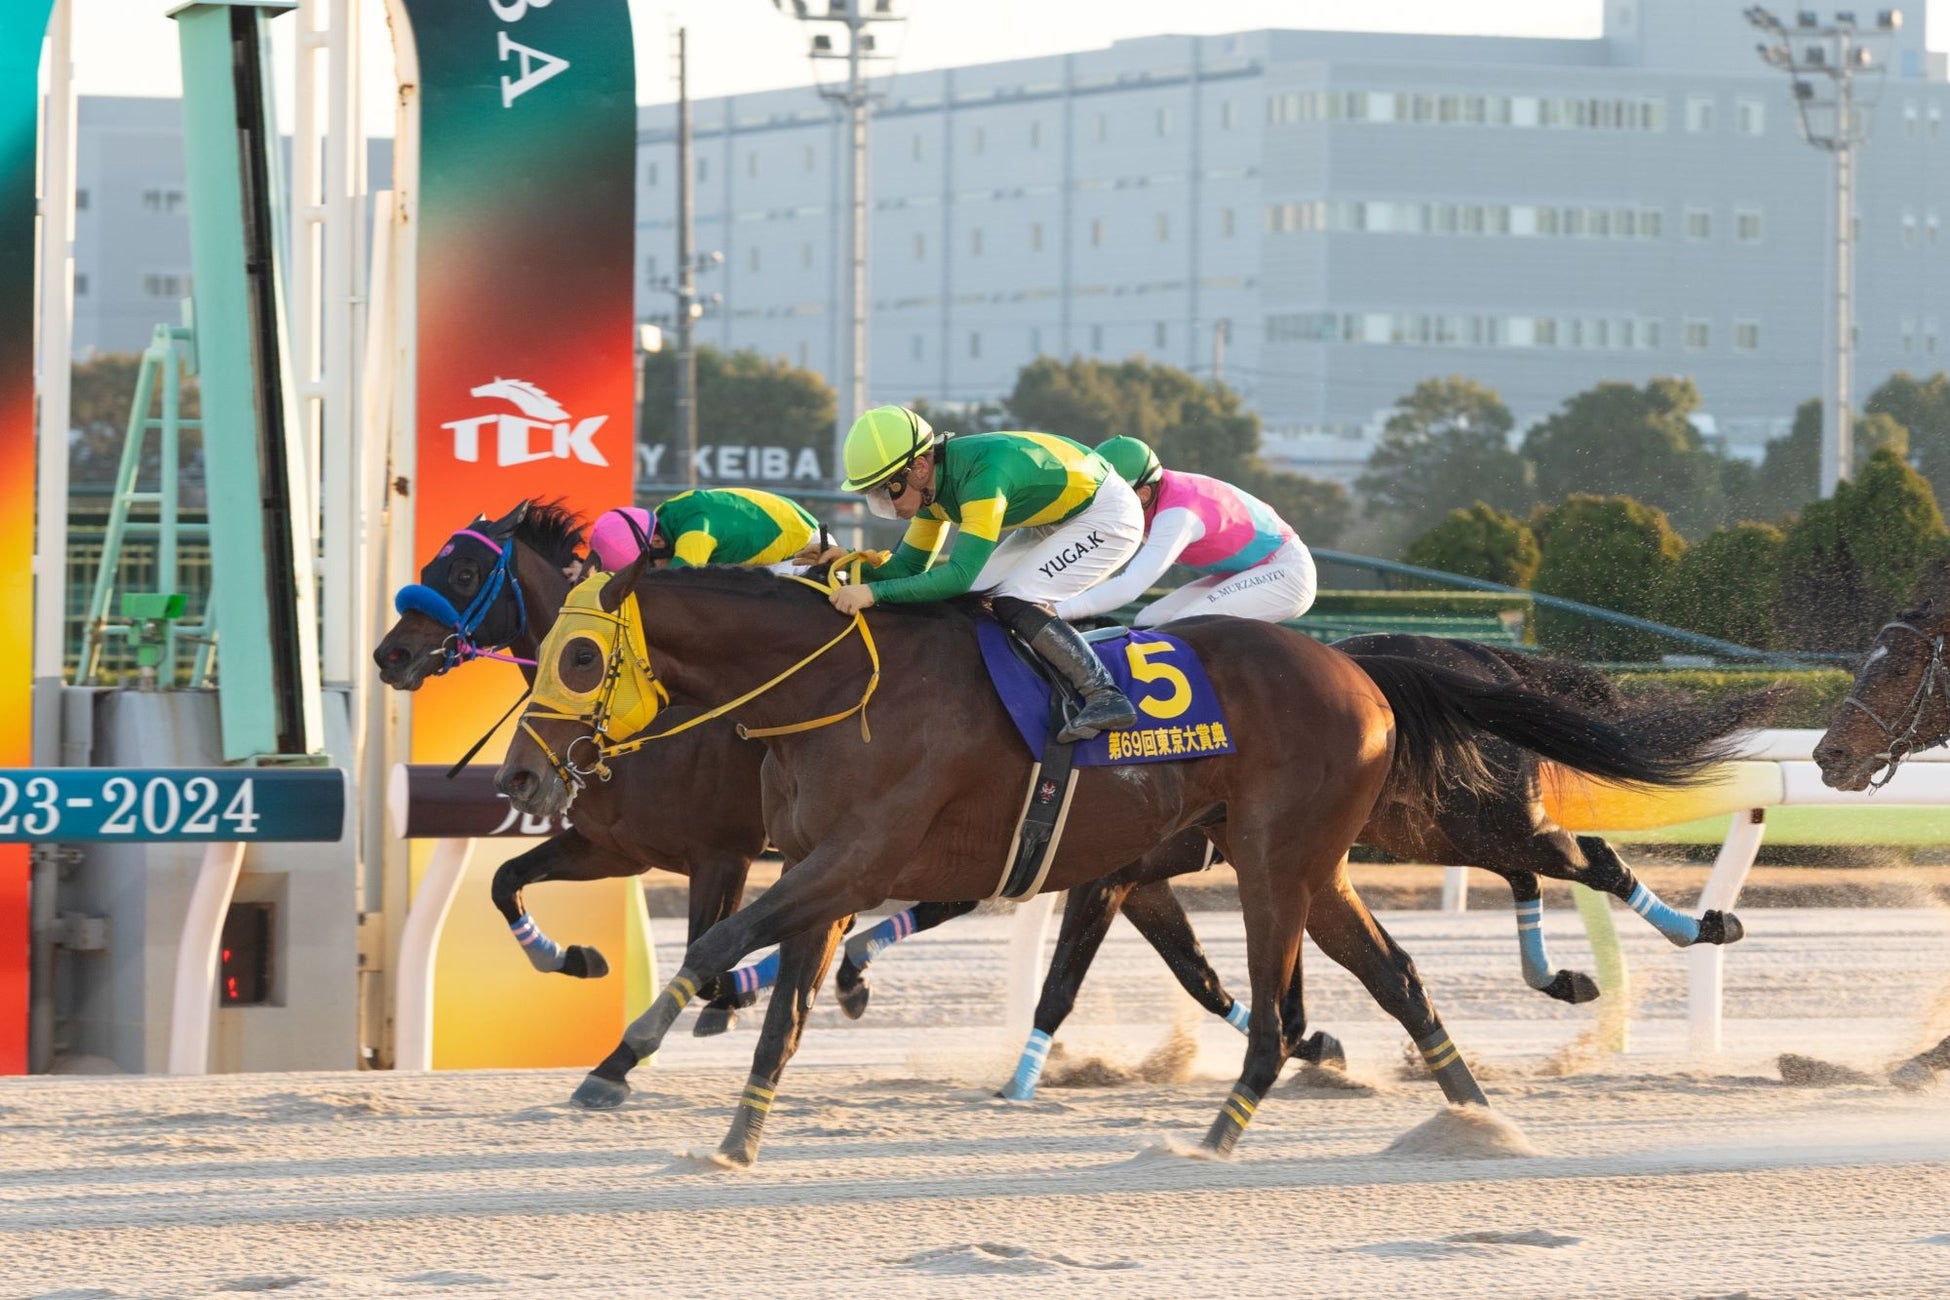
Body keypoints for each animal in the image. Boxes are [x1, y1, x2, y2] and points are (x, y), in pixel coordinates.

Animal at [368, 502, 764, 1029]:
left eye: (465, 573)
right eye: (429, 567)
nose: (390, 654)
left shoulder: (724, 856)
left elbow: (709, 961)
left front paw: (744, 991)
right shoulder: (617, 847)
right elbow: (505, 879)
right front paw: (572, 956)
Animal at [495, 565, 1731, 1161]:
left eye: (579, 655)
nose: (519, 776)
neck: (828, 687)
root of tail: (1361, 670)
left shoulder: (849, 861)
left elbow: (714, 941)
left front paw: (623, 1058)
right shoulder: (824, 872)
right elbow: (781, 1005)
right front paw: (732, 1142)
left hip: (1286, 855)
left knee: (1341, 973)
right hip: (1320, 864)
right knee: (1398, 974)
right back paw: (1477, 1126)